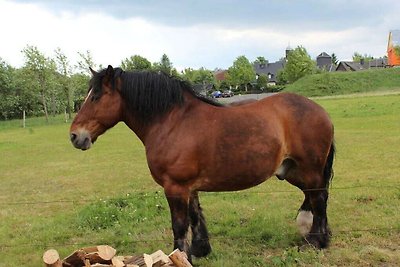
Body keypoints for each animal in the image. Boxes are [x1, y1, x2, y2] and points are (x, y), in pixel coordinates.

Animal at [70, 65, 336, 262]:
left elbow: (179, 224)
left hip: (309, 169)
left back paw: (316, 240)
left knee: (319, 197)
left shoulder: (175, 187)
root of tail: (320, 110)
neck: (172, 121)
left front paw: (181, 255)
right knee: (315, 196)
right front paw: (200, 250)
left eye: (96, 97)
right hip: (292, 170)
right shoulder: (189, 186)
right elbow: (195, 215)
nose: (75, 136)